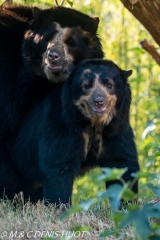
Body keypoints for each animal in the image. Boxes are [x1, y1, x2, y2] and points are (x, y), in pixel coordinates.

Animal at [5, 60, 139, 204]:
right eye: (86, 86)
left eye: (109, 85)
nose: (99, 101)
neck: (94, 124)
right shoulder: (62, 126)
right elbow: (58, 166)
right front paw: (59, 205)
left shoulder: (115, 130)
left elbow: (122, 165)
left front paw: (128, 203)